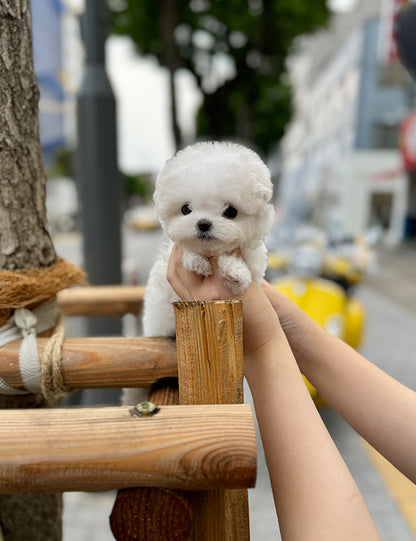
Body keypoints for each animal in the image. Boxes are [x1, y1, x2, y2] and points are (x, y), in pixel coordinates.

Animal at [143, 141, 276, 336]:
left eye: (231, 211)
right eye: (185, 209)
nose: (203, 224)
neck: (211, 252)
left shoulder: (255, 264)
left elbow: (243, 274)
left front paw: (235, 271)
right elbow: (187, 251)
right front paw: (198, 262)